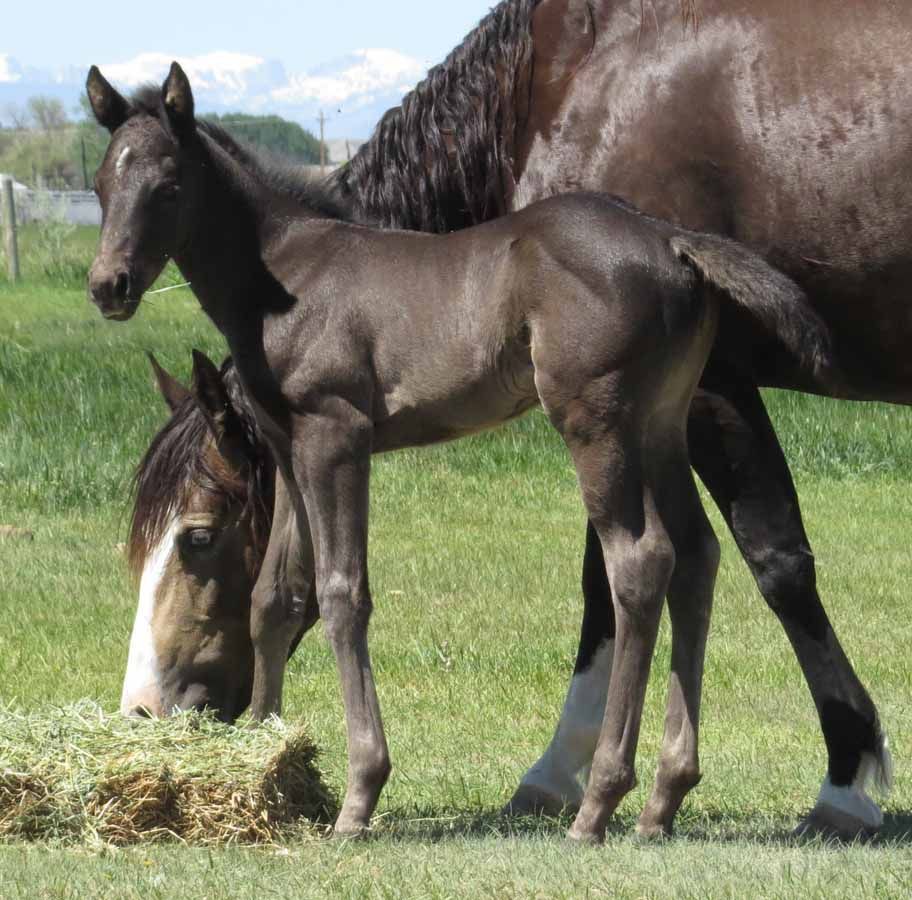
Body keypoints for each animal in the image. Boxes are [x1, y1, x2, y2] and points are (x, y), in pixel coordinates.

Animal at [106, 0, 906, 837]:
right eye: (102, 183)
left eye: (197, 538)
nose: (144, 709)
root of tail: (672, 241)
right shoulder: (294, 447)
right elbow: (278, 593)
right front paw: (274, 767)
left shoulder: (340, 437)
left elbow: (345, 592)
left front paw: (362, 793)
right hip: (649, 424)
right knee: (690, 555)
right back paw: (659, 797)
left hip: (600, 422)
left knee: (643, 562)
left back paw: (606, 801)